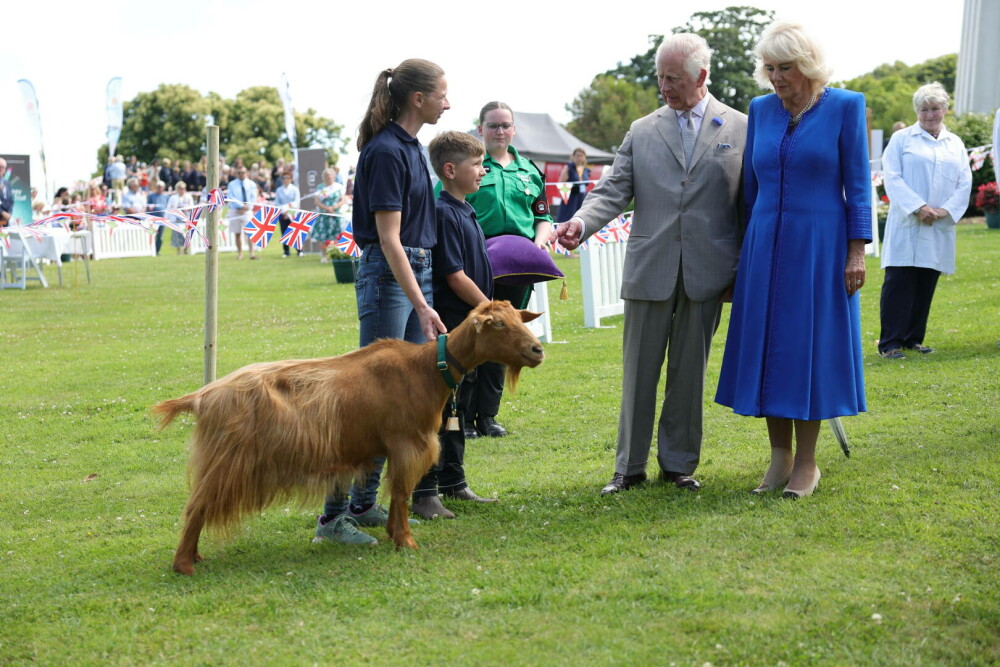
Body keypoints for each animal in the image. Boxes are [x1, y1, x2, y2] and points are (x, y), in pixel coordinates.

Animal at [152, 302, 544, 576]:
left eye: (518, 318)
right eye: (498, 324)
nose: (537, 350)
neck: (426, 369)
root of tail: (203, 396)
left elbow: (395, 494)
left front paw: (394, 535)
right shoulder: (407, 444)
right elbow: (401, 493)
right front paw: (406, 542)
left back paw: (193, 556)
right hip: (229, 460)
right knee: (196, 506)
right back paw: (184, 564)